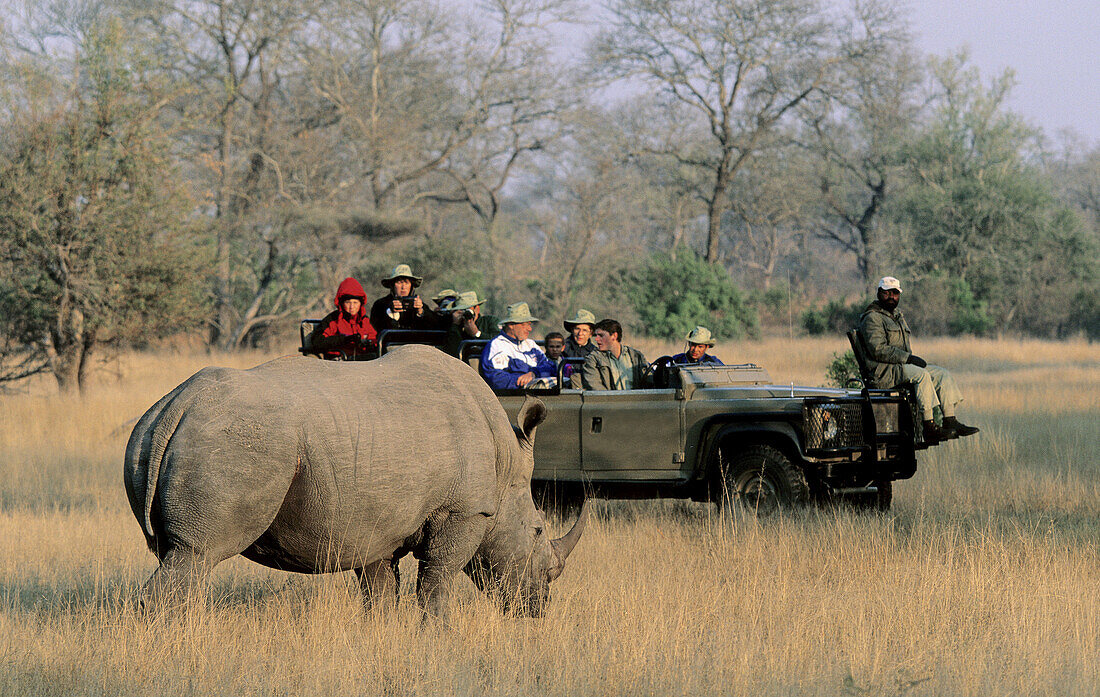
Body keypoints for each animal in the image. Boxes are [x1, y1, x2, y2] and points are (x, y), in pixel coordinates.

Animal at [124, 343, 589, 611]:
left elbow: (380, 592)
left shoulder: (375, 523)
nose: (539, 608)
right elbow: (436, 583)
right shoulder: (464, 511)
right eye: (537, 531)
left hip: (154, 435)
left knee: (177, 556)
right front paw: (437, 636)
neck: (504, 469)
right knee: (197, 554)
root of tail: (179, 403)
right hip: (238, 440)